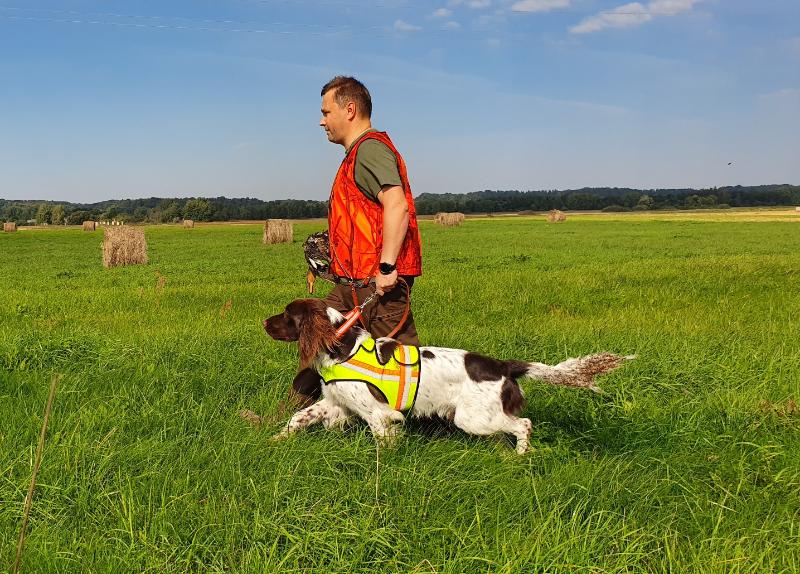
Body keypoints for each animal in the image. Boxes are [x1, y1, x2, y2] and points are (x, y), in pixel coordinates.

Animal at [262, 300, 632, 456]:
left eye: (286, 314)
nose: (263, 321)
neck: (342, 345)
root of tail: (503, 365)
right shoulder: (336, 403)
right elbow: (298, 418)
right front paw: (274, 440)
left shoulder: (380, 415)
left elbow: (384, 445)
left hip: (472, 417)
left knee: (523, 424)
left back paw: (521, 455)